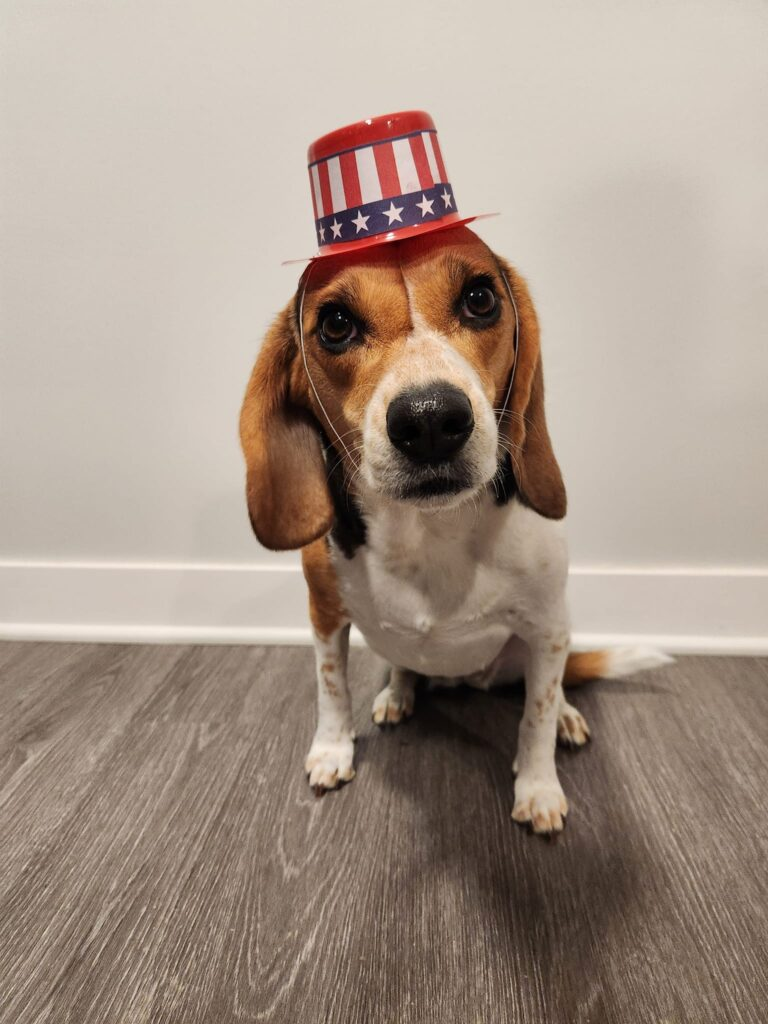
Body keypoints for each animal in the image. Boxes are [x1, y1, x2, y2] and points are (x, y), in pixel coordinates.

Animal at [240, 224, 667, 831]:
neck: (428, 530)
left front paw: (538, 786)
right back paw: (399, 693)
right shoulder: (324, 616)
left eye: (480, 299)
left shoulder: (546, 628)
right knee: (402, 666)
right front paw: (332, 749)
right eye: (336, 324)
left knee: (551, 685)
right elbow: (330, 685)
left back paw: (565, 716)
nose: (429, 420)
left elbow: (535, 715)